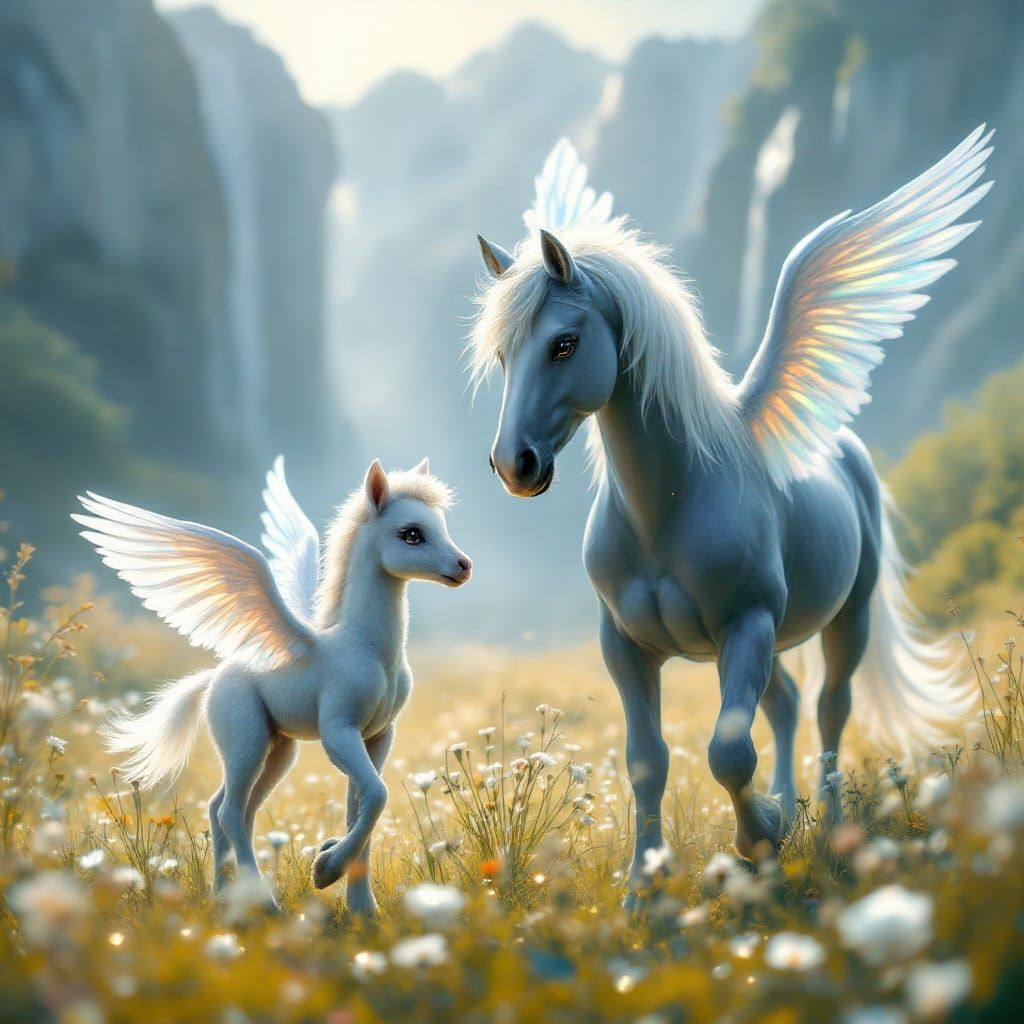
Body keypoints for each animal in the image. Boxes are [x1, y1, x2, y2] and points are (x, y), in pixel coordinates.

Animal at [73, 457, 471, 914]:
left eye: (441, 525)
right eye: (411, 533)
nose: (464, 566)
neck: (368, 649)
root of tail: (215, 677)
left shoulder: (379, 735)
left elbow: (362, 806)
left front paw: (361, 906)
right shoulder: (339, 731)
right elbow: (378, 795)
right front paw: (325, 870)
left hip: (279, 749)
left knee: (230, 808)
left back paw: (224, 897)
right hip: (246, 740)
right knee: (229, 810)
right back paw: (264, 903)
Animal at [471, 129, 990, 896]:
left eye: (564, 343)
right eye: (505, 354)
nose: (515, 465)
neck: (666, 510)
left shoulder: (746, 625)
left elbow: (727, 753)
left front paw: (761, 836)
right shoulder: (624, 645)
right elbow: (648, 758)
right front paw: (644, 887)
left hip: (842, 619)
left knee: (830, 709)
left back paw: (827, 826)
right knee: (788, 704)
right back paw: (796, 812)